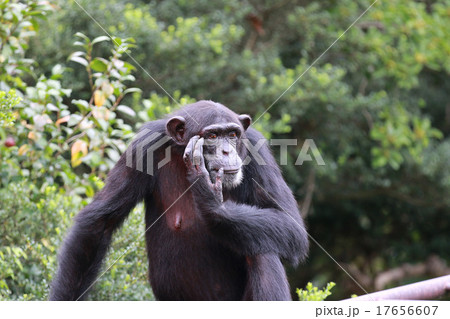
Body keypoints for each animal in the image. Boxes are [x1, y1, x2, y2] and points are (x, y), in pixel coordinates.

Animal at [50, 100, 310, 302]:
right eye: (212, 135)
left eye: (233, 135)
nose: (227, 151)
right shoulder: (141, 147)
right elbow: (100, 223)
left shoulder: (257, 150)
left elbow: (290, 224)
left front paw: (211, 202)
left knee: (264, 249)